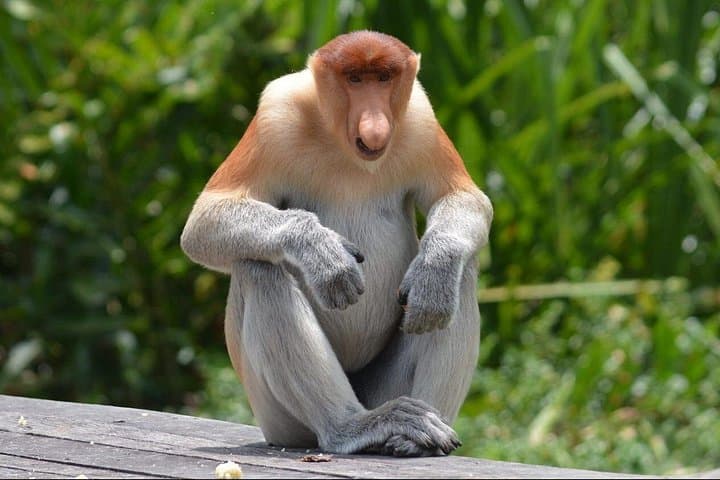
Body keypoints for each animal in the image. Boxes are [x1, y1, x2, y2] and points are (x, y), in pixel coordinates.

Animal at [180, 31, 492, 457]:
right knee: (258, 268)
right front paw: (322, 255)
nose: (375, 124)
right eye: (354, 79)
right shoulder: (275, 118)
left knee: (464, 271)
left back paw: (418, 434)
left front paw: (435, 270)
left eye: (383, 77)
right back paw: (356, 426)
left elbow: (463, 197)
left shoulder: (421, 120)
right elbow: (204, 220)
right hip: (278, 419)